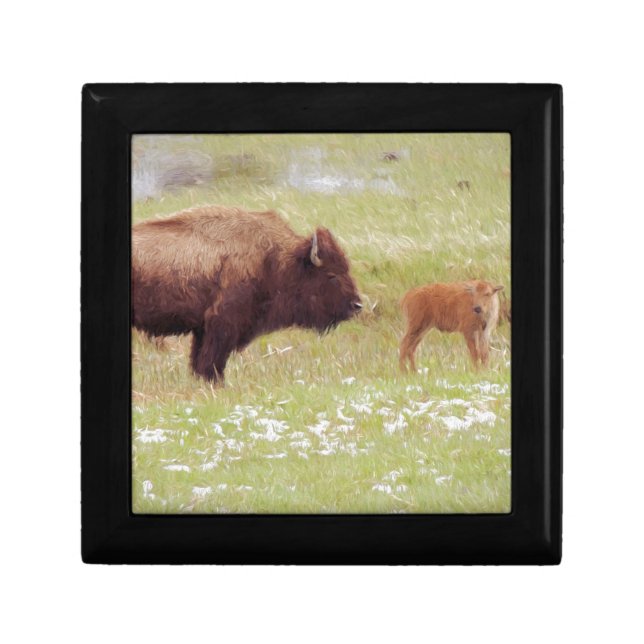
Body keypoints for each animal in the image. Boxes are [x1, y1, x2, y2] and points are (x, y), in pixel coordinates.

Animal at [132, 206, 362, 383]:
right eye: (331, 275)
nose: (357, 305)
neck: (275, 259)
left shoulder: (204, 329)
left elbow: (200, 360)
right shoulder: (221, 325)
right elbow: (210, 362)